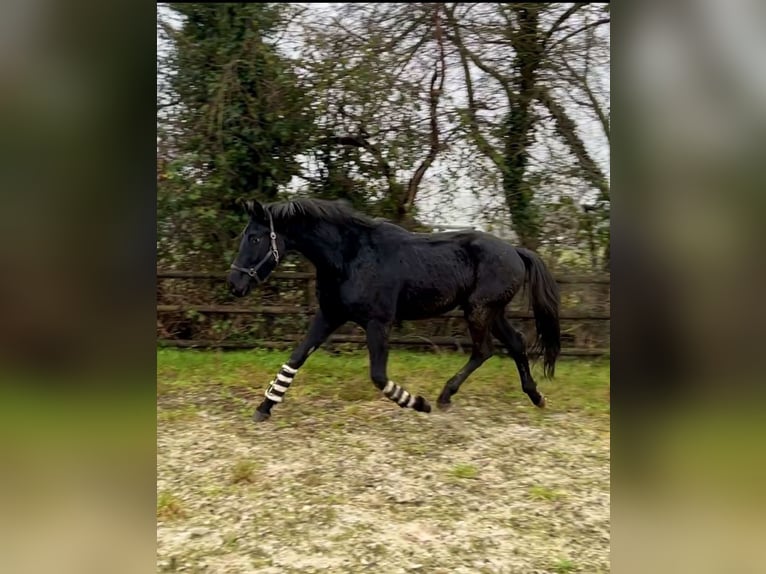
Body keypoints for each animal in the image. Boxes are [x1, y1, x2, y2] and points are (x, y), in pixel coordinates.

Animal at [225, 198, 560, 424]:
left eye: (254, 237)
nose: (234, 284)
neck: (349, 257)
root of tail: (515, 251)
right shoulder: (329, 316)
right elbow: (295, 358)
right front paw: (264, 408)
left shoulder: (378, 322)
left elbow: (378, 375)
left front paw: (418, 403)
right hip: (492, 312)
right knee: (515, 343)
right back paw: (537, 397)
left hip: (479, 310)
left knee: (484, 350)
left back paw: (443, 397)